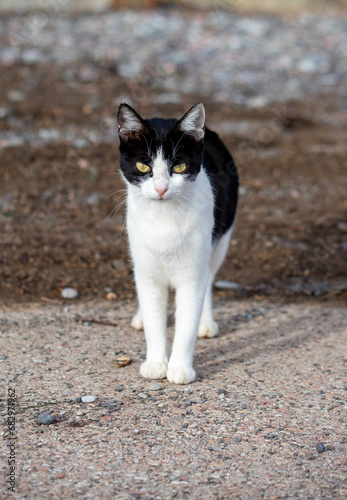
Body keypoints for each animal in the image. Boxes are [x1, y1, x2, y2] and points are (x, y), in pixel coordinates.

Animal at [117, 100, 239, 382]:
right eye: (143, 166)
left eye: (179, 167)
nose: (161, 188)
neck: (164, 220)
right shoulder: (147, 270)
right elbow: (154, 320)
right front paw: (155, 363)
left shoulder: (192, 274)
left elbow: (186, 323)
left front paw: (180, 368)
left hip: (220, 240)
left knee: (209, 277)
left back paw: (206, 322)